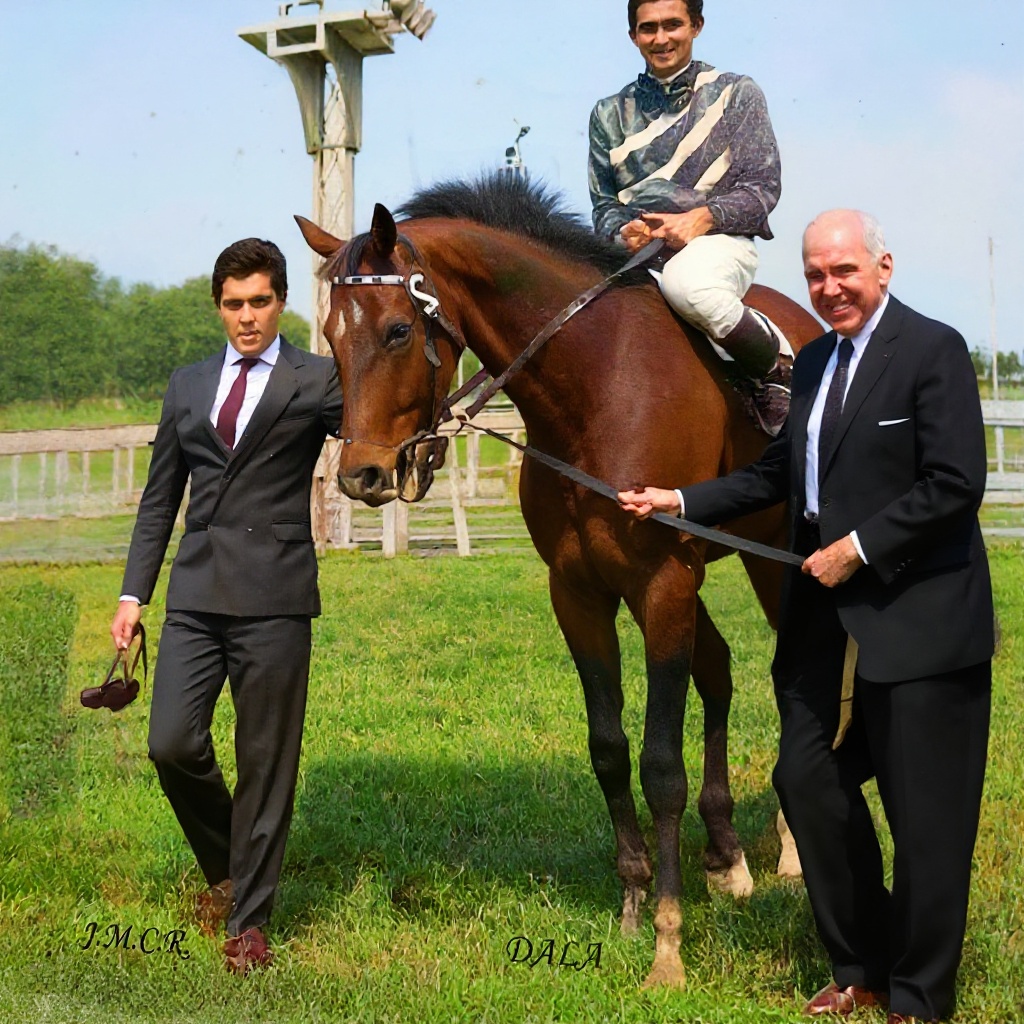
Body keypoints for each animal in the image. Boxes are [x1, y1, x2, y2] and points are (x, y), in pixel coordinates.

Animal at [296, 174, 821, 989]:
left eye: (397, 331)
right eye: (331, 333)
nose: (362, 474)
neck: (596, 386)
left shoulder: (661, 582)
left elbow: (659, 763)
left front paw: (668, 943)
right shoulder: (580, 593)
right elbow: (608, 747)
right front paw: (634, 903)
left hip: (770, 564)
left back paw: (793, 851)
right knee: (720, 672)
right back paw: (727, 855)